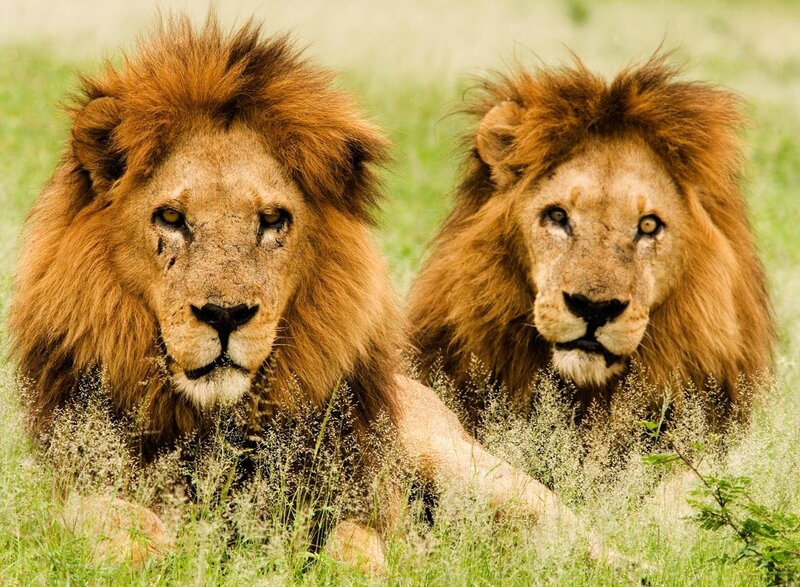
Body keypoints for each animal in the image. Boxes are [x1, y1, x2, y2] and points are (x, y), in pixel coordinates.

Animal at [8, 17, 620, 572]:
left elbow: (359, 550)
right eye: (172, 218)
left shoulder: (350, 496)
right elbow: (116, 526)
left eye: (272, 220)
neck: (216, 424)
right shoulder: (66, 489)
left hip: (472, 474)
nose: (225, 316)